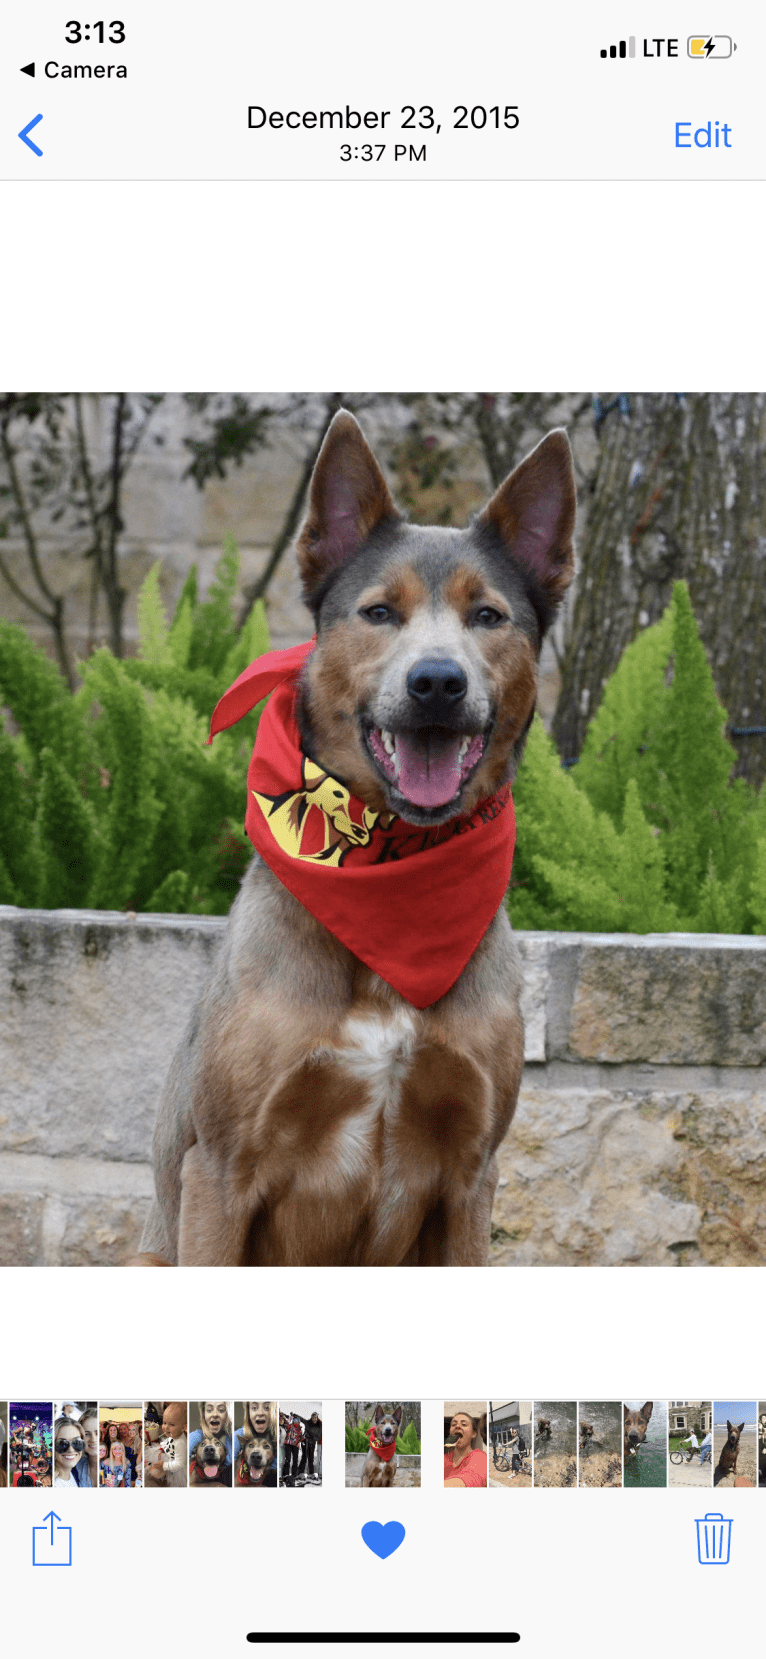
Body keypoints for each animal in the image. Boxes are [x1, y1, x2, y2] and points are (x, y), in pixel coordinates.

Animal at [131, 408, 573, 1260]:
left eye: (487, 615)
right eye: (378, 612)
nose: (437, 682)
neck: (386, 867)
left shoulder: (471, 1178)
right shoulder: (219, 1169)